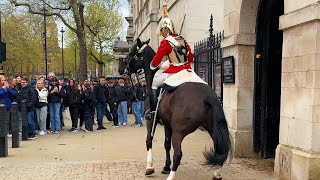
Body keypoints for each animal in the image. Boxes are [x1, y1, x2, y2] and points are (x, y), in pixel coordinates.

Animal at [118, 38, 230, 180]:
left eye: (132, 52)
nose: (120, 69)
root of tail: (207, 96)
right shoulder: (167, 124)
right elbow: (166, 144)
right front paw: (166, 167)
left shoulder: (151, 121)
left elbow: (149, 141)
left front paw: (149, 167)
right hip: (212, 128)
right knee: (221, 150)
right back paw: (217, 173)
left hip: (179, 131)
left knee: (178, 154)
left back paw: (171, 176)